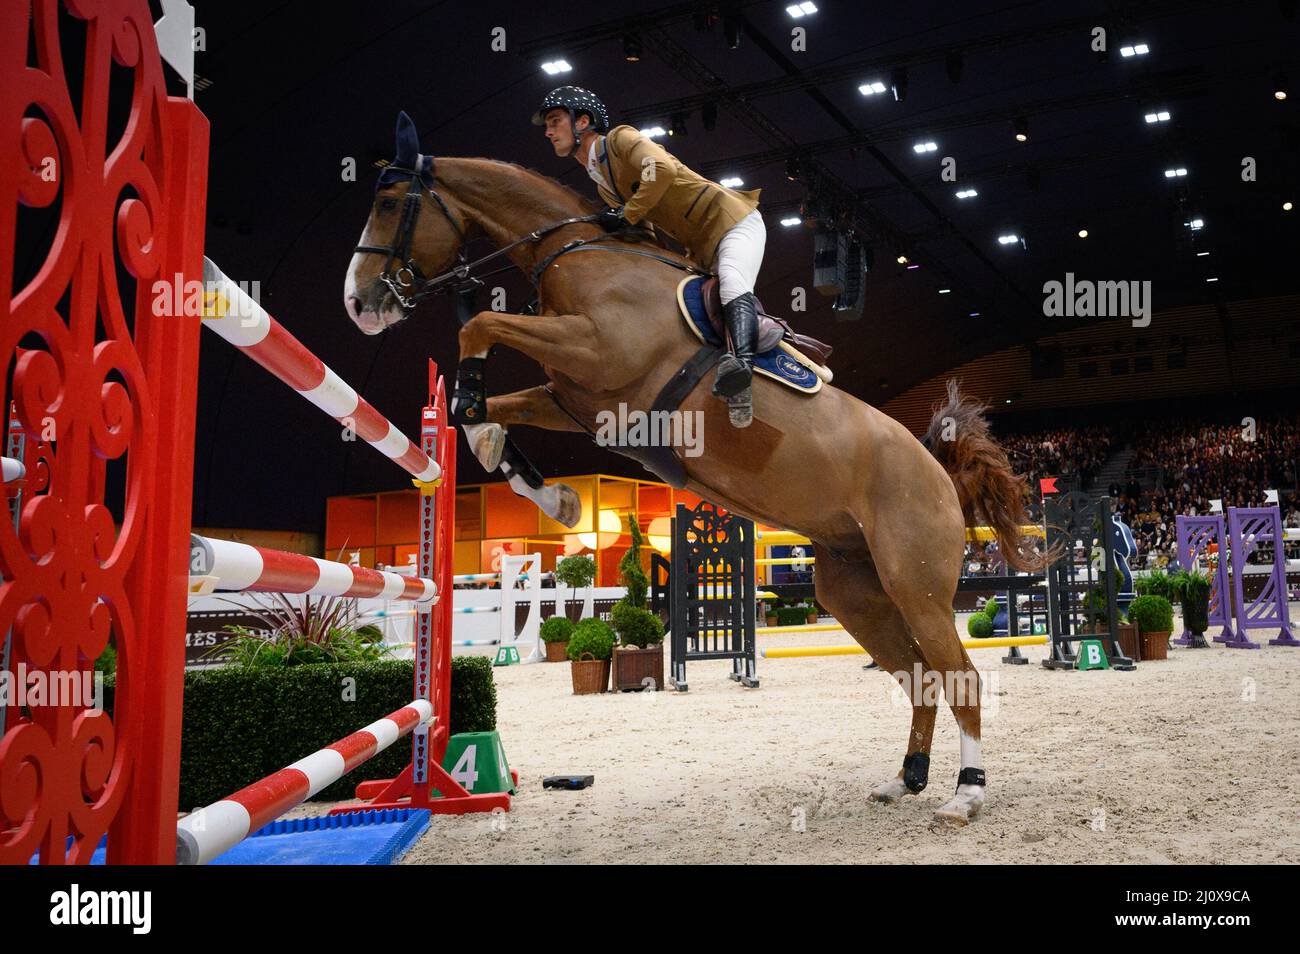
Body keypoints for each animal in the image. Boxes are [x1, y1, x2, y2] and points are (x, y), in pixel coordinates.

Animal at [338, 113, 1045, 831]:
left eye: (389, 203)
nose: (359, 303)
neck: (581, 257)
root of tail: (939, 471)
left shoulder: (595, 355)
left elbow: (480, 323)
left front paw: (499, 433)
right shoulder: (577, 398)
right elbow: (483, 405)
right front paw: (540, 484)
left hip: (916, 584)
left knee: (960, 676)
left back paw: (966, 793)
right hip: (853, 591)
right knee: (918, 676)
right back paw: (906, 779)